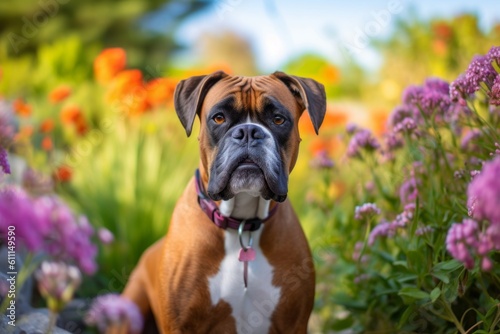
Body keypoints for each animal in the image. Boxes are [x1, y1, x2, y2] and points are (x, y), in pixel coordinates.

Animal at [122, 70, 326, 332]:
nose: (249, 131)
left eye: (278, 119)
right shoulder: (180, 325)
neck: (241, 222)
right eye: (219, 118)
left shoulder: (294, 324)